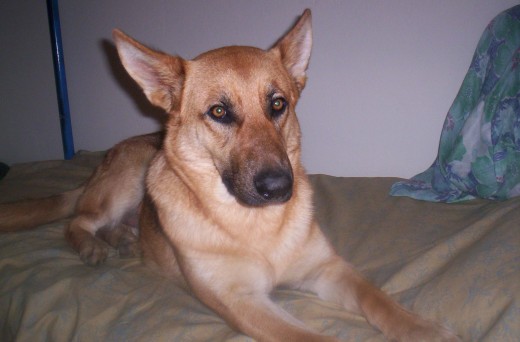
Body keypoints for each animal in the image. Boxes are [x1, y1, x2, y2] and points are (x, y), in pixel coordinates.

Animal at [2, 10, 462, 342]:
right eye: (219, 112)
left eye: (277, 104)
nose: (280, 188)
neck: (255, 226)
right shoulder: (242, 303)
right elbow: (313, 339)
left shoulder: (327, 269)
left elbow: (379, 300)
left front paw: (424, 329)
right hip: (129, 177)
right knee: (77, 221)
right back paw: (94, 245)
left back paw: (125, 240)